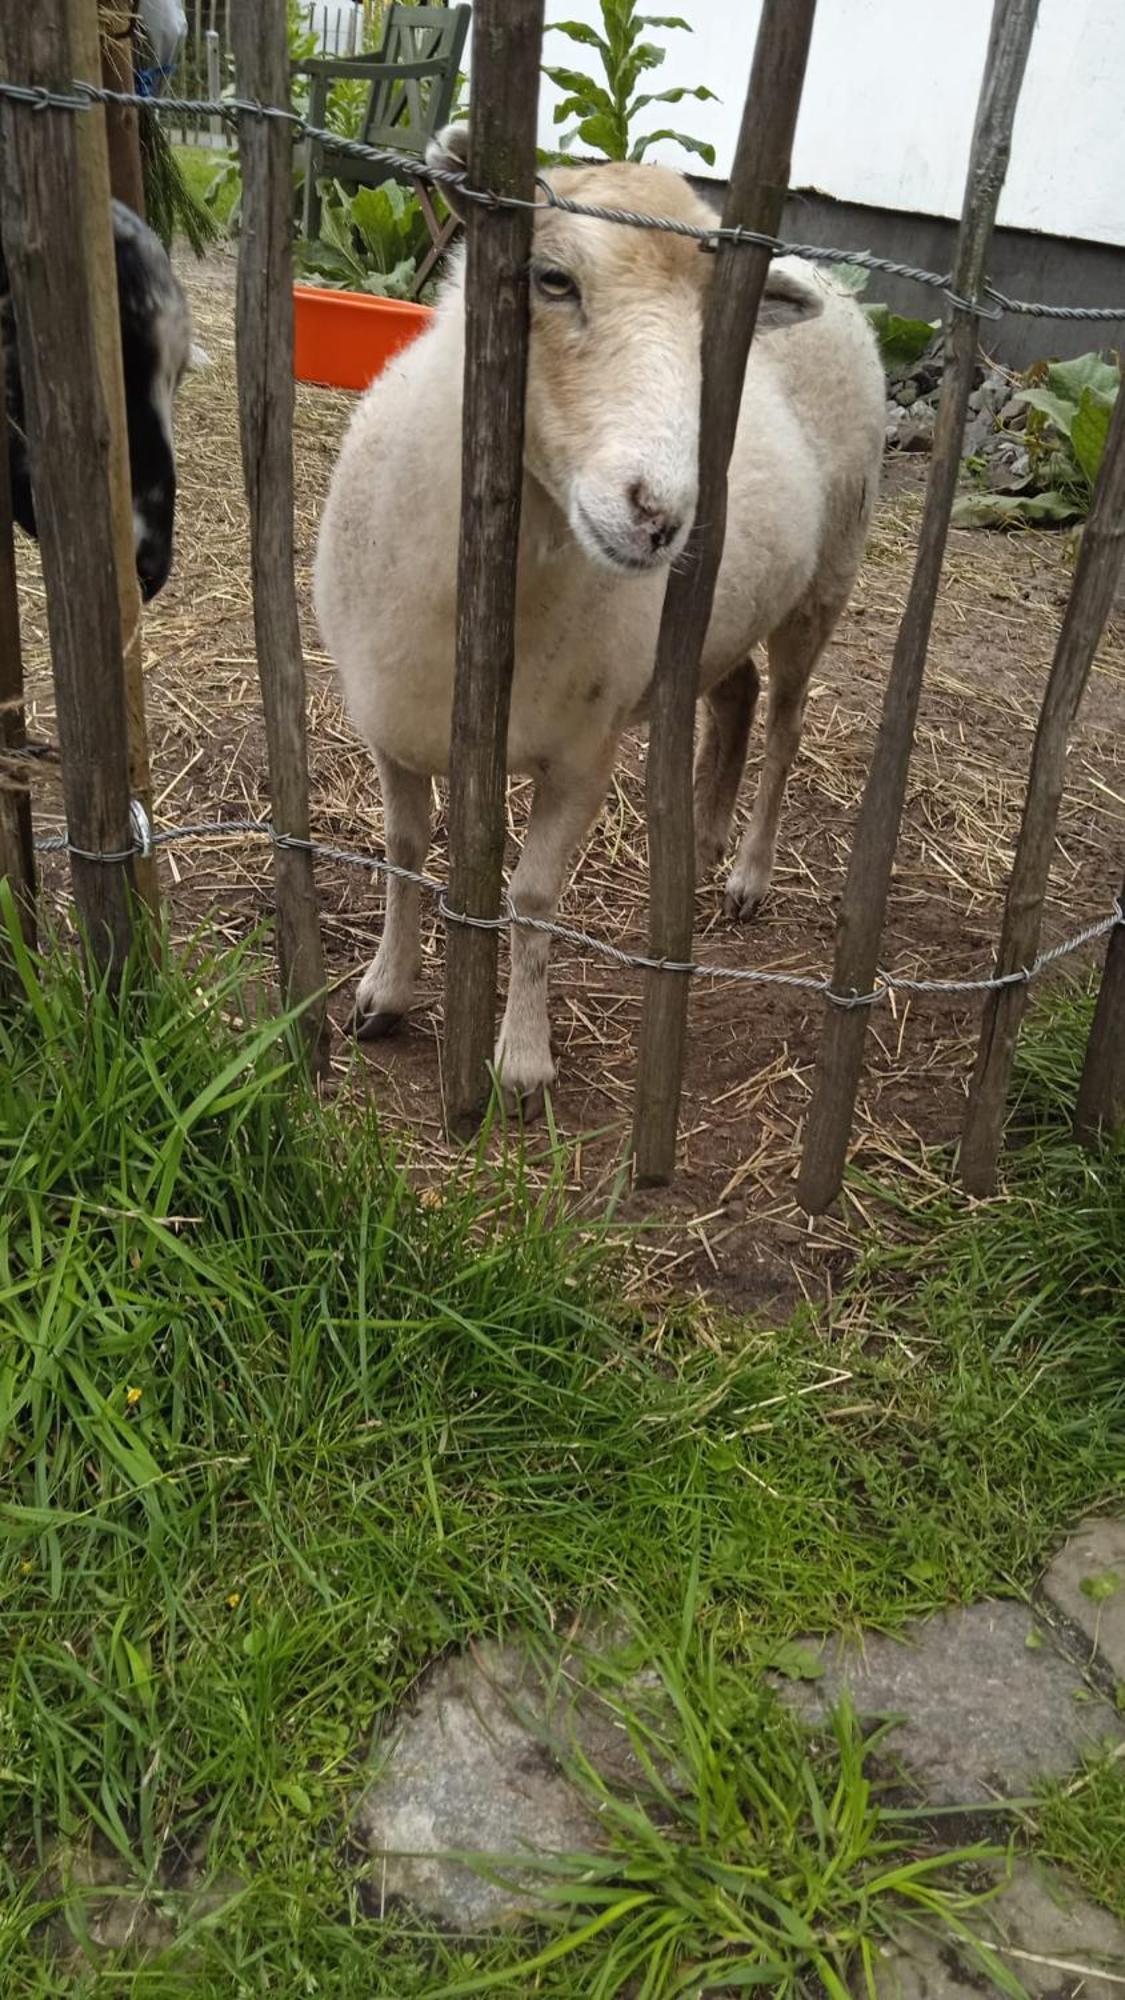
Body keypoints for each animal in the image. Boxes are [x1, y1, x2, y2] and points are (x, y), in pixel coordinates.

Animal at [312, 133, 884, 1120]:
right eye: (551, 278)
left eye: (719, 340)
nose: (660, 516)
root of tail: (824, 274)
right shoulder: (389, 727)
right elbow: (403, 852)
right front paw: (385, 992)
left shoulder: (582, 753)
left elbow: (533, 895)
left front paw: (522, 1061)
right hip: (720, 616)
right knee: (732, 699)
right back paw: (698, 842)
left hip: (825, 582)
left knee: (783, 723)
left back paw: (746, 873)